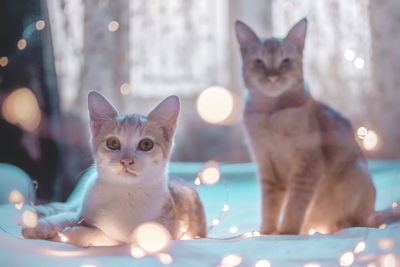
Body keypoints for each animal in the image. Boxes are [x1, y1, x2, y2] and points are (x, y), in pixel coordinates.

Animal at [22, 91, 208, 246]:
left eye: (146, 144)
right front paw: (43, 225)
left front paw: (70, 233)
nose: (126, 160)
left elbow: (104, 236)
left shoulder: (155, 234)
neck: (121, 191)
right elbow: (69, 215)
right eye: (113, 143)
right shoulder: (83, 211)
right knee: (67, 207)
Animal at [234, 18, 378, 234]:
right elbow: (269, 207)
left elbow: (295, 204)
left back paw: (339, 225)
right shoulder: (268, 168)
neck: (270, 115)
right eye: (259, 62)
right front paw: (266, 231)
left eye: (285, 61)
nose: (273, 77)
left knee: (356, 221)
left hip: (355, 173)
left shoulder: (308, 166)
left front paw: (286, 232)